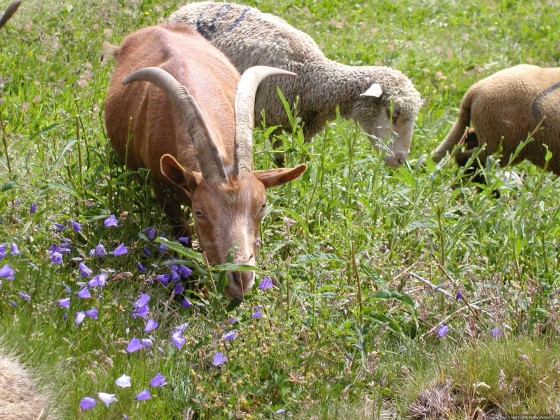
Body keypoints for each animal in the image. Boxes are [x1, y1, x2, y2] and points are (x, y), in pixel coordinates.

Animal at [105, 23, 306, 298]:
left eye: (263, 205)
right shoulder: (162, 188)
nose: (240, 278)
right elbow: (182, 235)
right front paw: (191, 287)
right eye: (199, 212)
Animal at [168, 1, 422, 167]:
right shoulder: (275, 123)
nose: (400, 159)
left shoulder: (306, 129)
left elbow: (305, 158)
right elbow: (280, 160)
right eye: (392, 113)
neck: (312, 78)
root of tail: (186, 8)